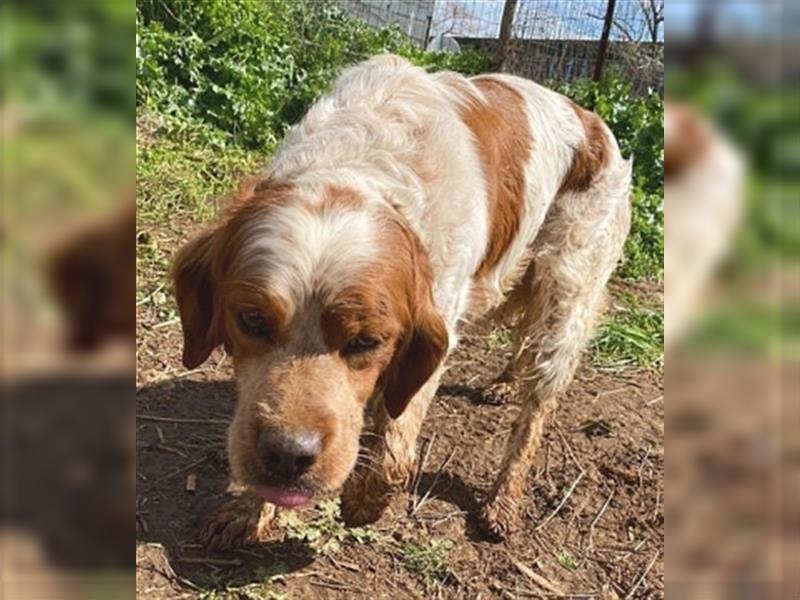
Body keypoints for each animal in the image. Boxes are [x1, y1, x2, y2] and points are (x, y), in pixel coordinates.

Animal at [173, 55, 632, 544]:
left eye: (366, 341)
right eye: (252, 320)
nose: (289, 455)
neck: (362, 162)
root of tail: (589, 117)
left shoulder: (438, 324)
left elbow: (394, 453)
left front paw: (363, 502)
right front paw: (249, 510)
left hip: (565, 294)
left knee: (536, 409)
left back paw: (503, 500)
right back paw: (505, 382)